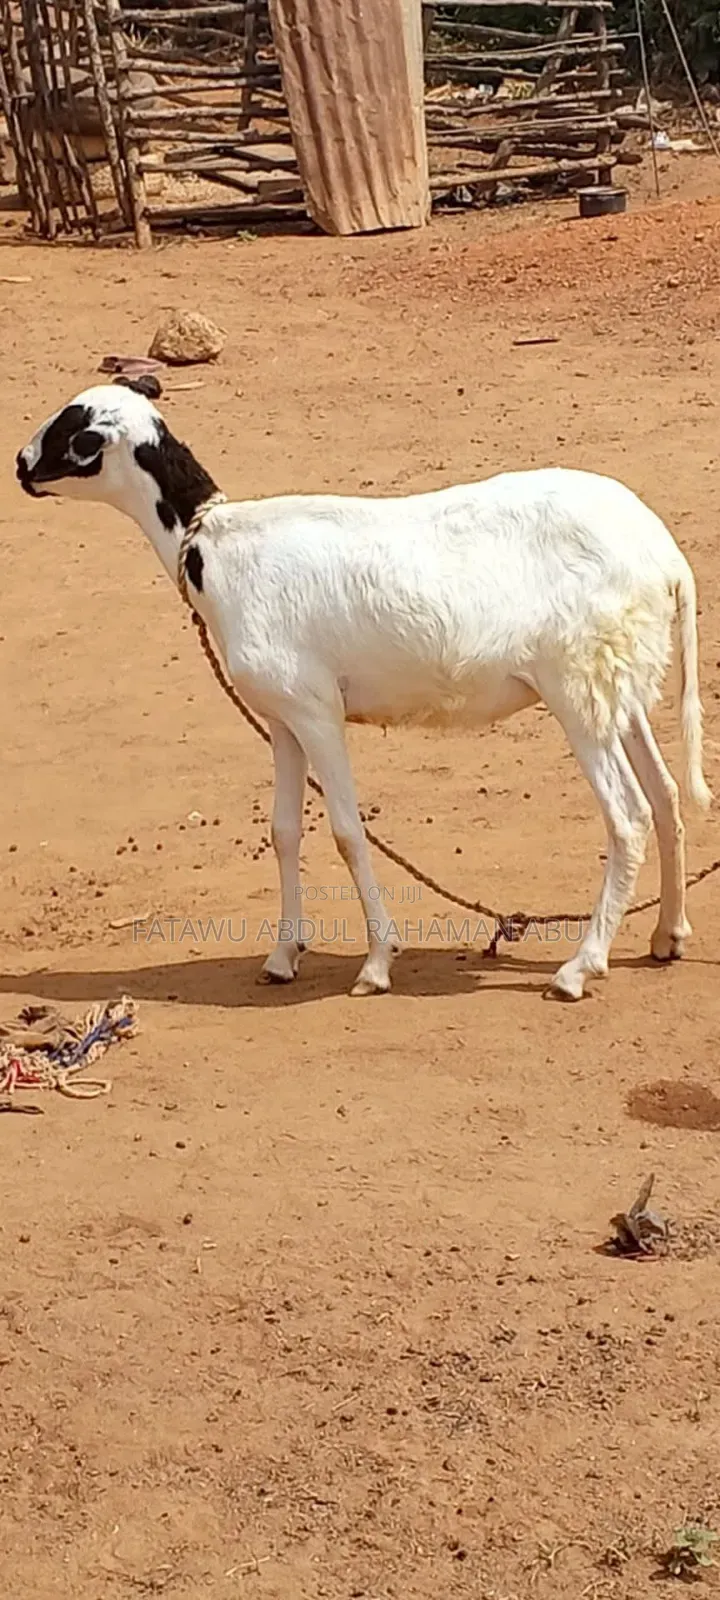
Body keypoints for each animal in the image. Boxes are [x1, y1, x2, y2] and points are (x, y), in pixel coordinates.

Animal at [16, 378, 711, 1001]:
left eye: (77, 435)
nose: (21, 465)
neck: (213, 546)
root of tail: (666, 557)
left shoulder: (316, 710)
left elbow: (348, 832)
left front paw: (377, 964)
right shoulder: (282, 720)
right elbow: (283, 830)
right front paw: (283, 957)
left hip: (577, 688)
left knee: (628, 816)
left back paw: (579, 968)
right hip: (619, 686)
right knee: (667, 795)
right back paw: (667, 935)